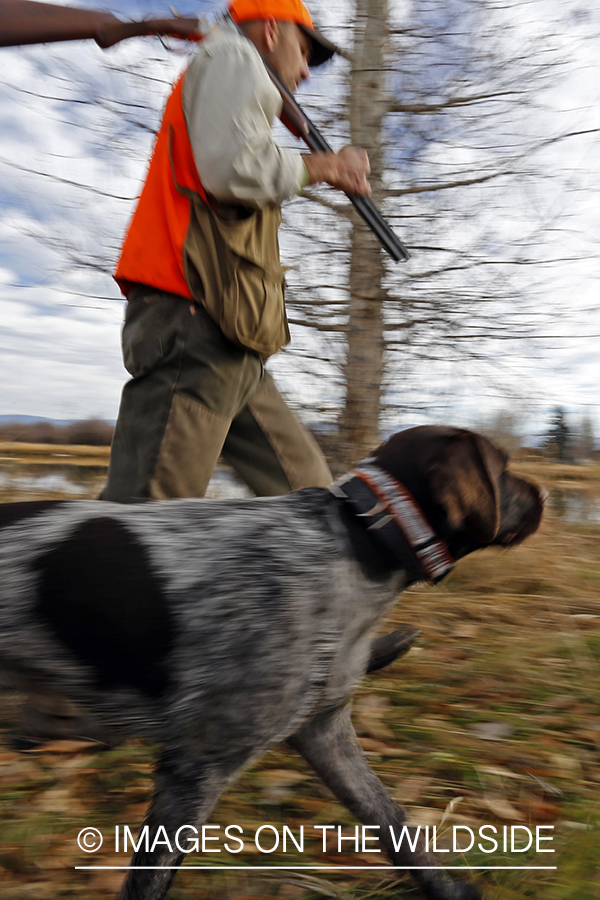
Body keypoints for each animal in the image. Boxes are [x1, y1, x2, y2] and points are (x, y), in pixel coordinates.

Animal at [0, 424, 544, 900]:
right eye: (503, 469)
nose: (542, 494)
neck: (359, 540)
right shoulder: (198, 764)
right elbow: (150, 880)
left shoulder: (324, 732)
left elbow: (394, 824)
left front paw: (451, 889)